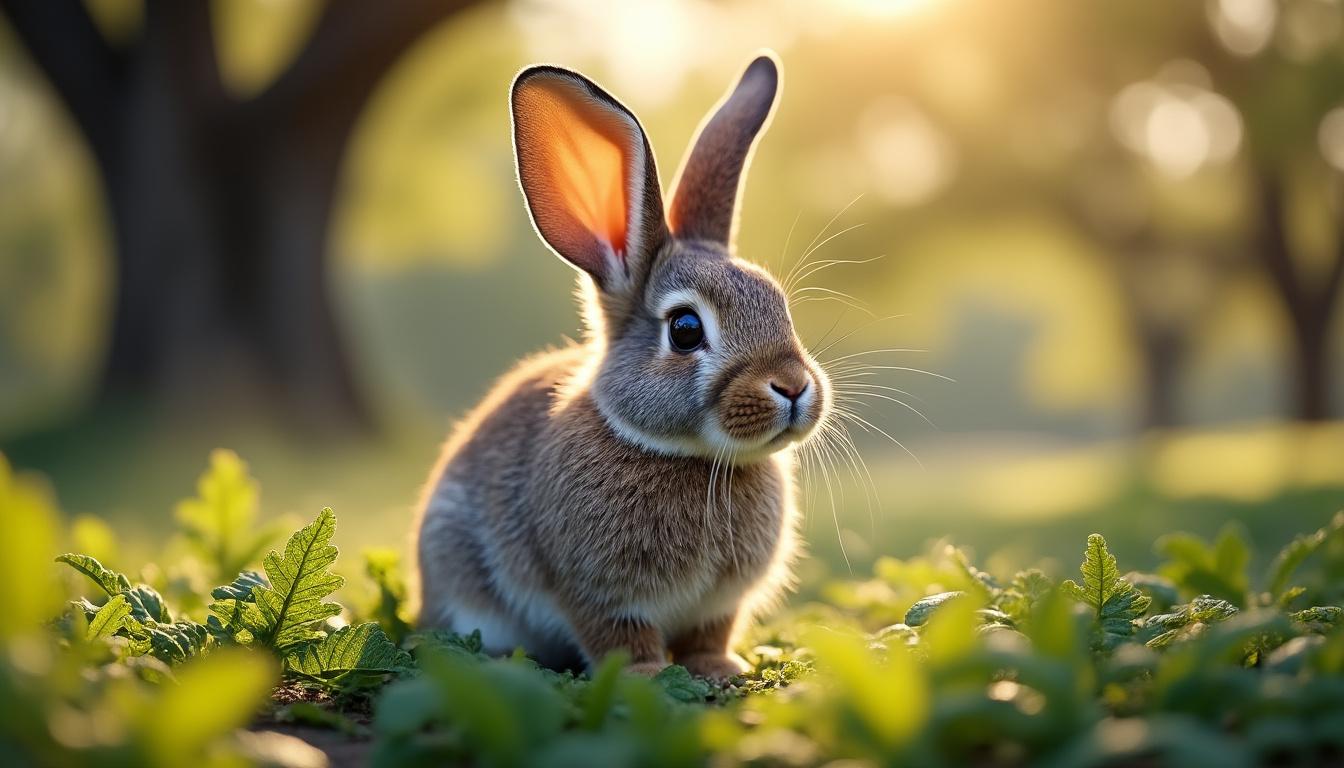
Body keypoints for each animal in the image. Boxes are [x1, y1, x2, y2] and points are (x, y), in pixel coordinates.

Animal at [414, 51, 830, 680]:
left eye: (779, 304)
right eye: (685, 329)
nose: (793, 386)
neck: (691, 457)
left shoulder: (720, 604)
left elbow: (710, 634)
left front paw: (719, 668)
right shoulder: (595, 595)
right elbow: (617, 636)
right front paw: (648, 675)